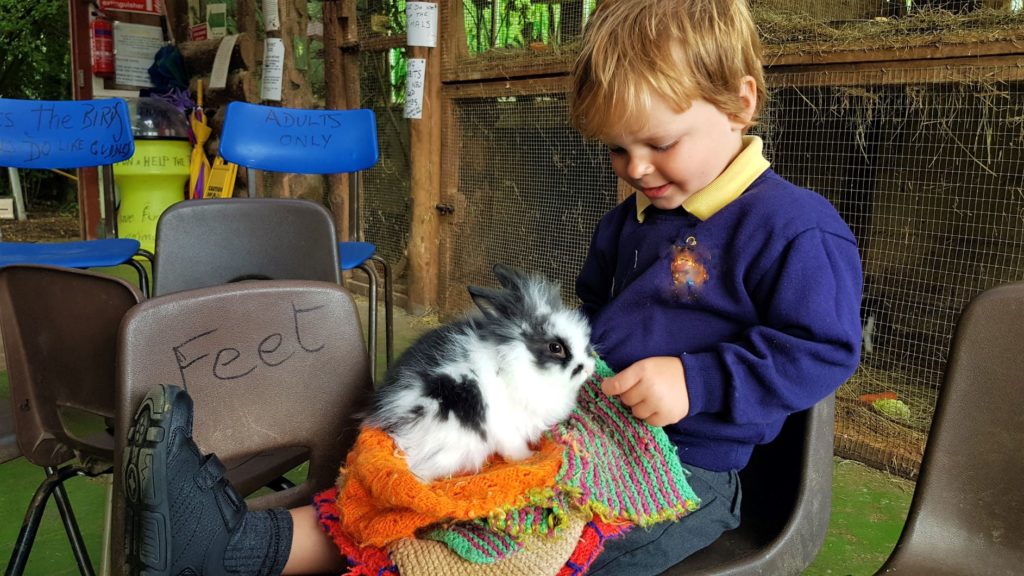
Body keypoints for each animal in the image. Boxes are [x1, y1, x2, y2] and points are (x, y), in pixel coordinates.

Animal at [364, 264, 598, 479]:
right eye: (555, 347)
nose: (589, 367)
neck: (517, 358)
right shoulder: (507, 427)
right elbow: (515, 448)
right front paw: (527, 458)